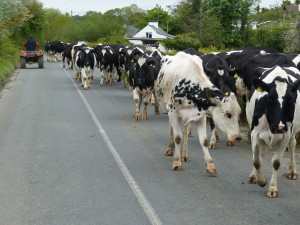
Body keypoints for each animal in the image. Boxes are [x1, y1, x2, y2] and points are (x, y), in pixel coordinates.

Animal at [245, 66, 300, 198]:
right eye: (270, 98)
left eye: (291, 99)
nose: (279, 126)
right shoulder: (255, 133)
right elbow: (256, 160)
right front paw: (261, 180)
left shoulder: (285, 135)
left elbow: (276, 163)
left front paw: (272, 188)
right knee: (261, 153)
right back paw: (254, 176)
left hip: (292, 131)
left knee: (292, 144)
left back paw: (292, 171)